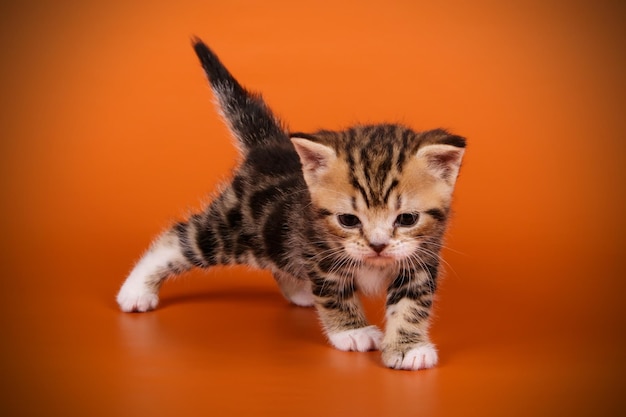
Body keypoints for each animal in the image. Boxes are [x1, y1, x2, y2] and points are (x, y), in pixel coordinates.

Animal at [116, 39, 464, 370]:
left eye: (406, 219)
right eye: (349, 220)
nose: (378, 246)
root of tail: (270, 145)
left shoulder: (421, 257)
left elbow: (410, 304)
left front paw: (408, 349)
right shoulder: (319, 252)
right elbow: (335, 293)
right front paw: (353, 331)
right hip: (234, 230)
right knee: (179, 239)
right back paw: (137, 290)